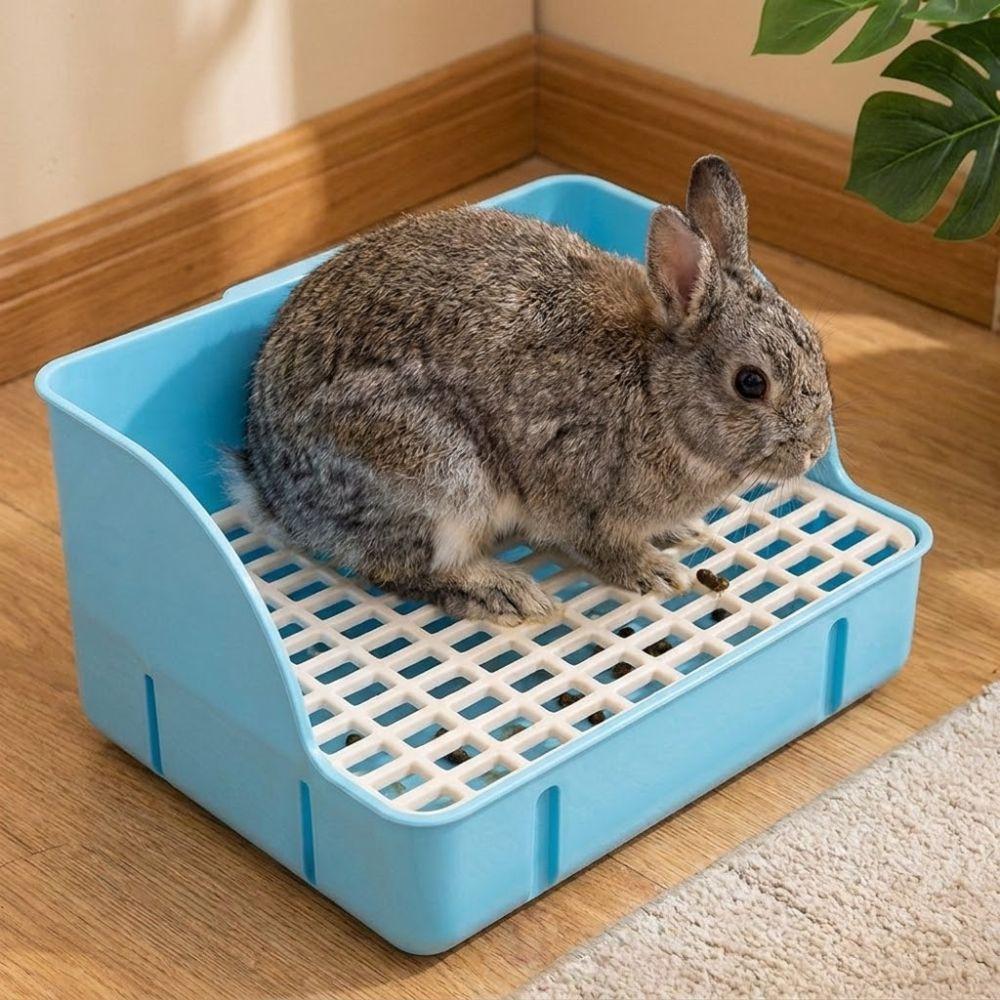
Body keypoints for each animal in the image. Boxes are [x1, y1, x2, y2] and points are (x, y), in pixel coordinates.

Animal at [232, 155, 832, 625]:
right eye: (751, 383)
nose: (815, 450)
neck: (656, 387)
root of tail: (275, 492)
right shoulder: (579, 492)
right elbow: (601, 544)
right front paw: (655, 572)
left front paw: (676, 533)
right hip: (435, 471)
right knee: (405, 568)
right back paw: (504, 593)